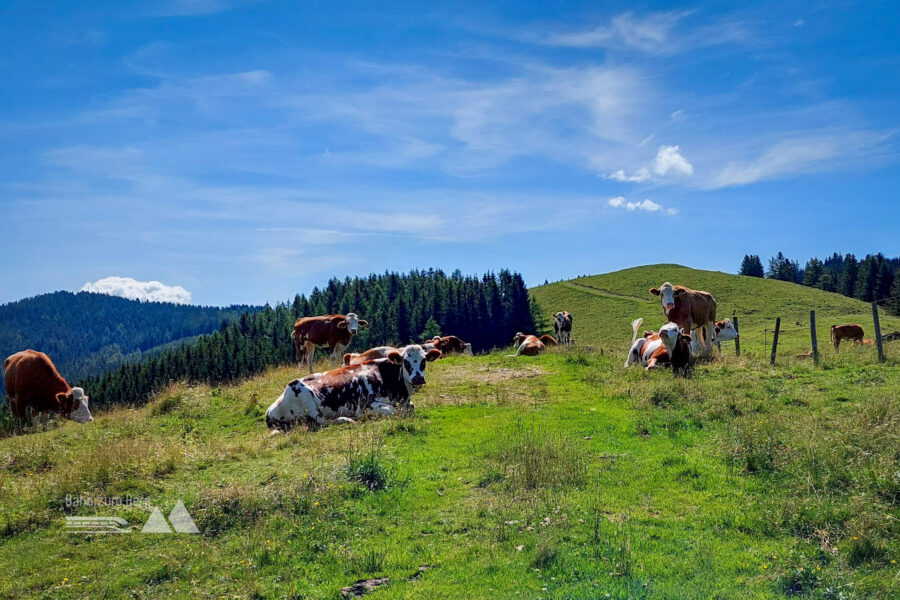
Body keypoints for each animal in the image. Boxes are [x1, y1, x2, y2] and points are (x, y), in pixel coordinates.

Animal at [266, 342, 442, 432]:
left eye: (424, 360)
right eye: (406, 361)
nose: (418, 378)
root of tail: (269, 410)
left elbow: (411, 407)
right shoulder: (368, 405)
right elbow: (393, 411)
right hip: (300, 391)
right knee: (319, 421)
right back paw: (347, 419)